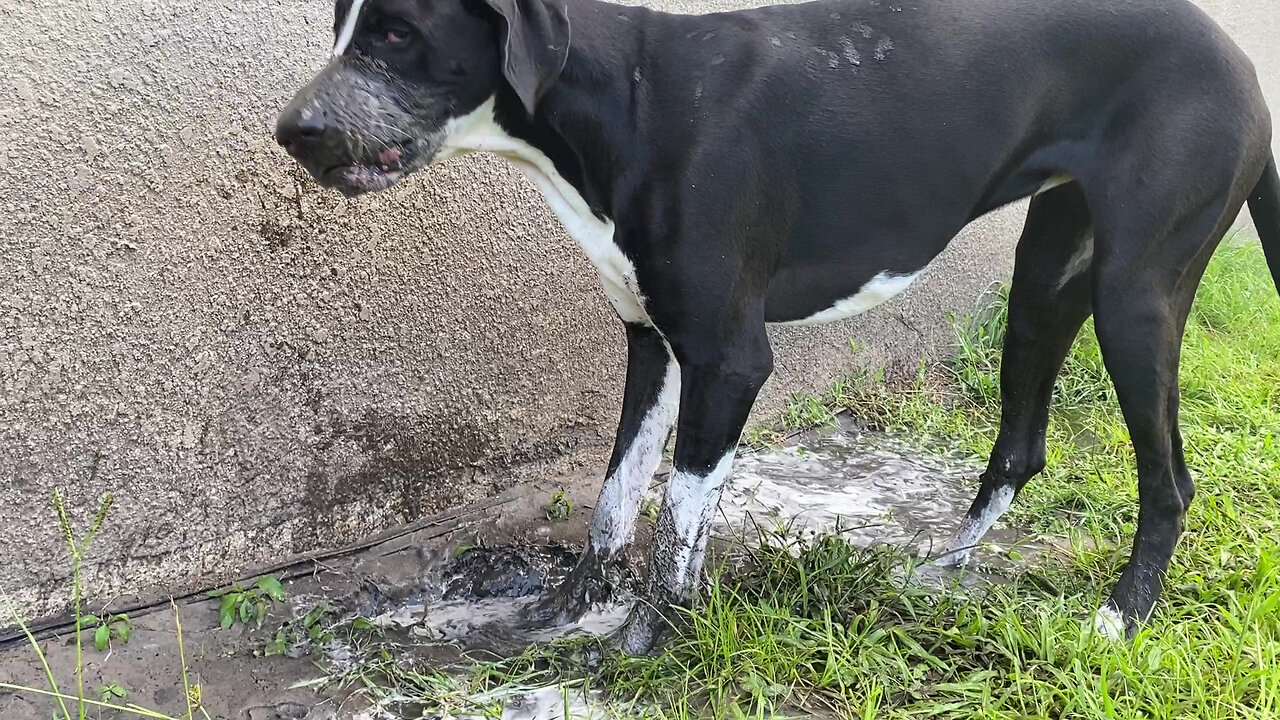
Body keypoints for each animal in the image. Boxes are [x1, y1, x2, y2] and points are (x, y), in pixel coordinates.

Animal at [277, 0, 1280, 650]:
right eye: (340, 28)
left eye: (398, 31)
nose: (293, 131)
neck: (630, 96)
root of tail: (1242, 65)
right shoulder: (654, 347)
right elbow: (615, 497)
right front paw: (565, 611)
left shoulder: (727, 359)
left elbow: (678, 519)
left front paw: (646, 642)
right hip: (1043, 288)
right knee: (1020, 448)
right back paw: (940, 570)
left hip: (1135, 297)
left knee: (1171, 480)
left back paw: (1121, 617)